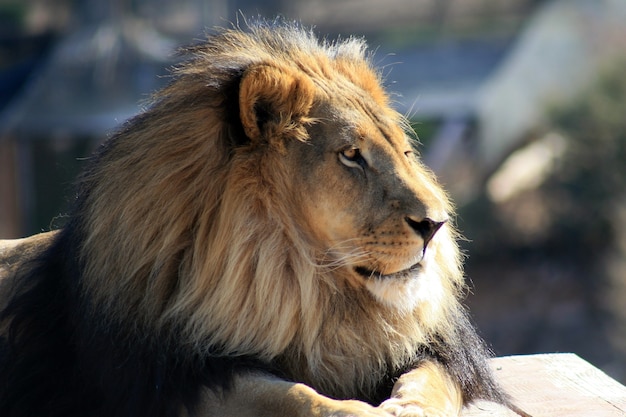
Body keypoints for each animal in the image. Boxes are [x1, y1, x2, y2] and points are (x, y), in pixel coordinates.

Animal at [0, 20, 502, 416]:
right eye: (351, 155)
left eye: (405, 152)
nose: (435, 225)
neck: (302, 286)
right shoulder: (170, 376)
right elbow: (289, 395)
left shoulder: (444, 356)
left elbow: (427, 380)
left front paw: (407, 407)